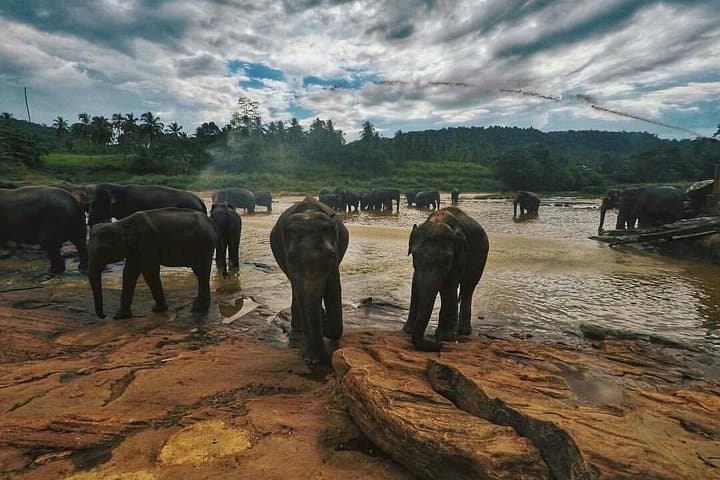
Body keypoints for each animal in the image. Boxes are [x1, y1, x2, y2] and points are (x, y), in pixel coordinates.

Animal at [270, 197, 349, 364]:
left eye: (330, 257)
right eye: (290, 260)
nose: (313, 360)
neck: (308, 213)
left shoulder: (335, 257)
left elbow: (333, 288)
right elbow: (300, 292)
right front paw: (313, 359)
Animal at [403, 207, 489, 352]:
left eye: (447, 260)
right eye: (414, 255)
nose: (438, 344)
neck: (439, 219)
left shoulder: (459, 256)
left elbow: (449, 286)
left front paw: (445, 337)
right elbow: (416, 284)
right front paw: (407, 330)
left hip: (481, 257)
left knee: (468, 287)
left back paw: (462, 332)